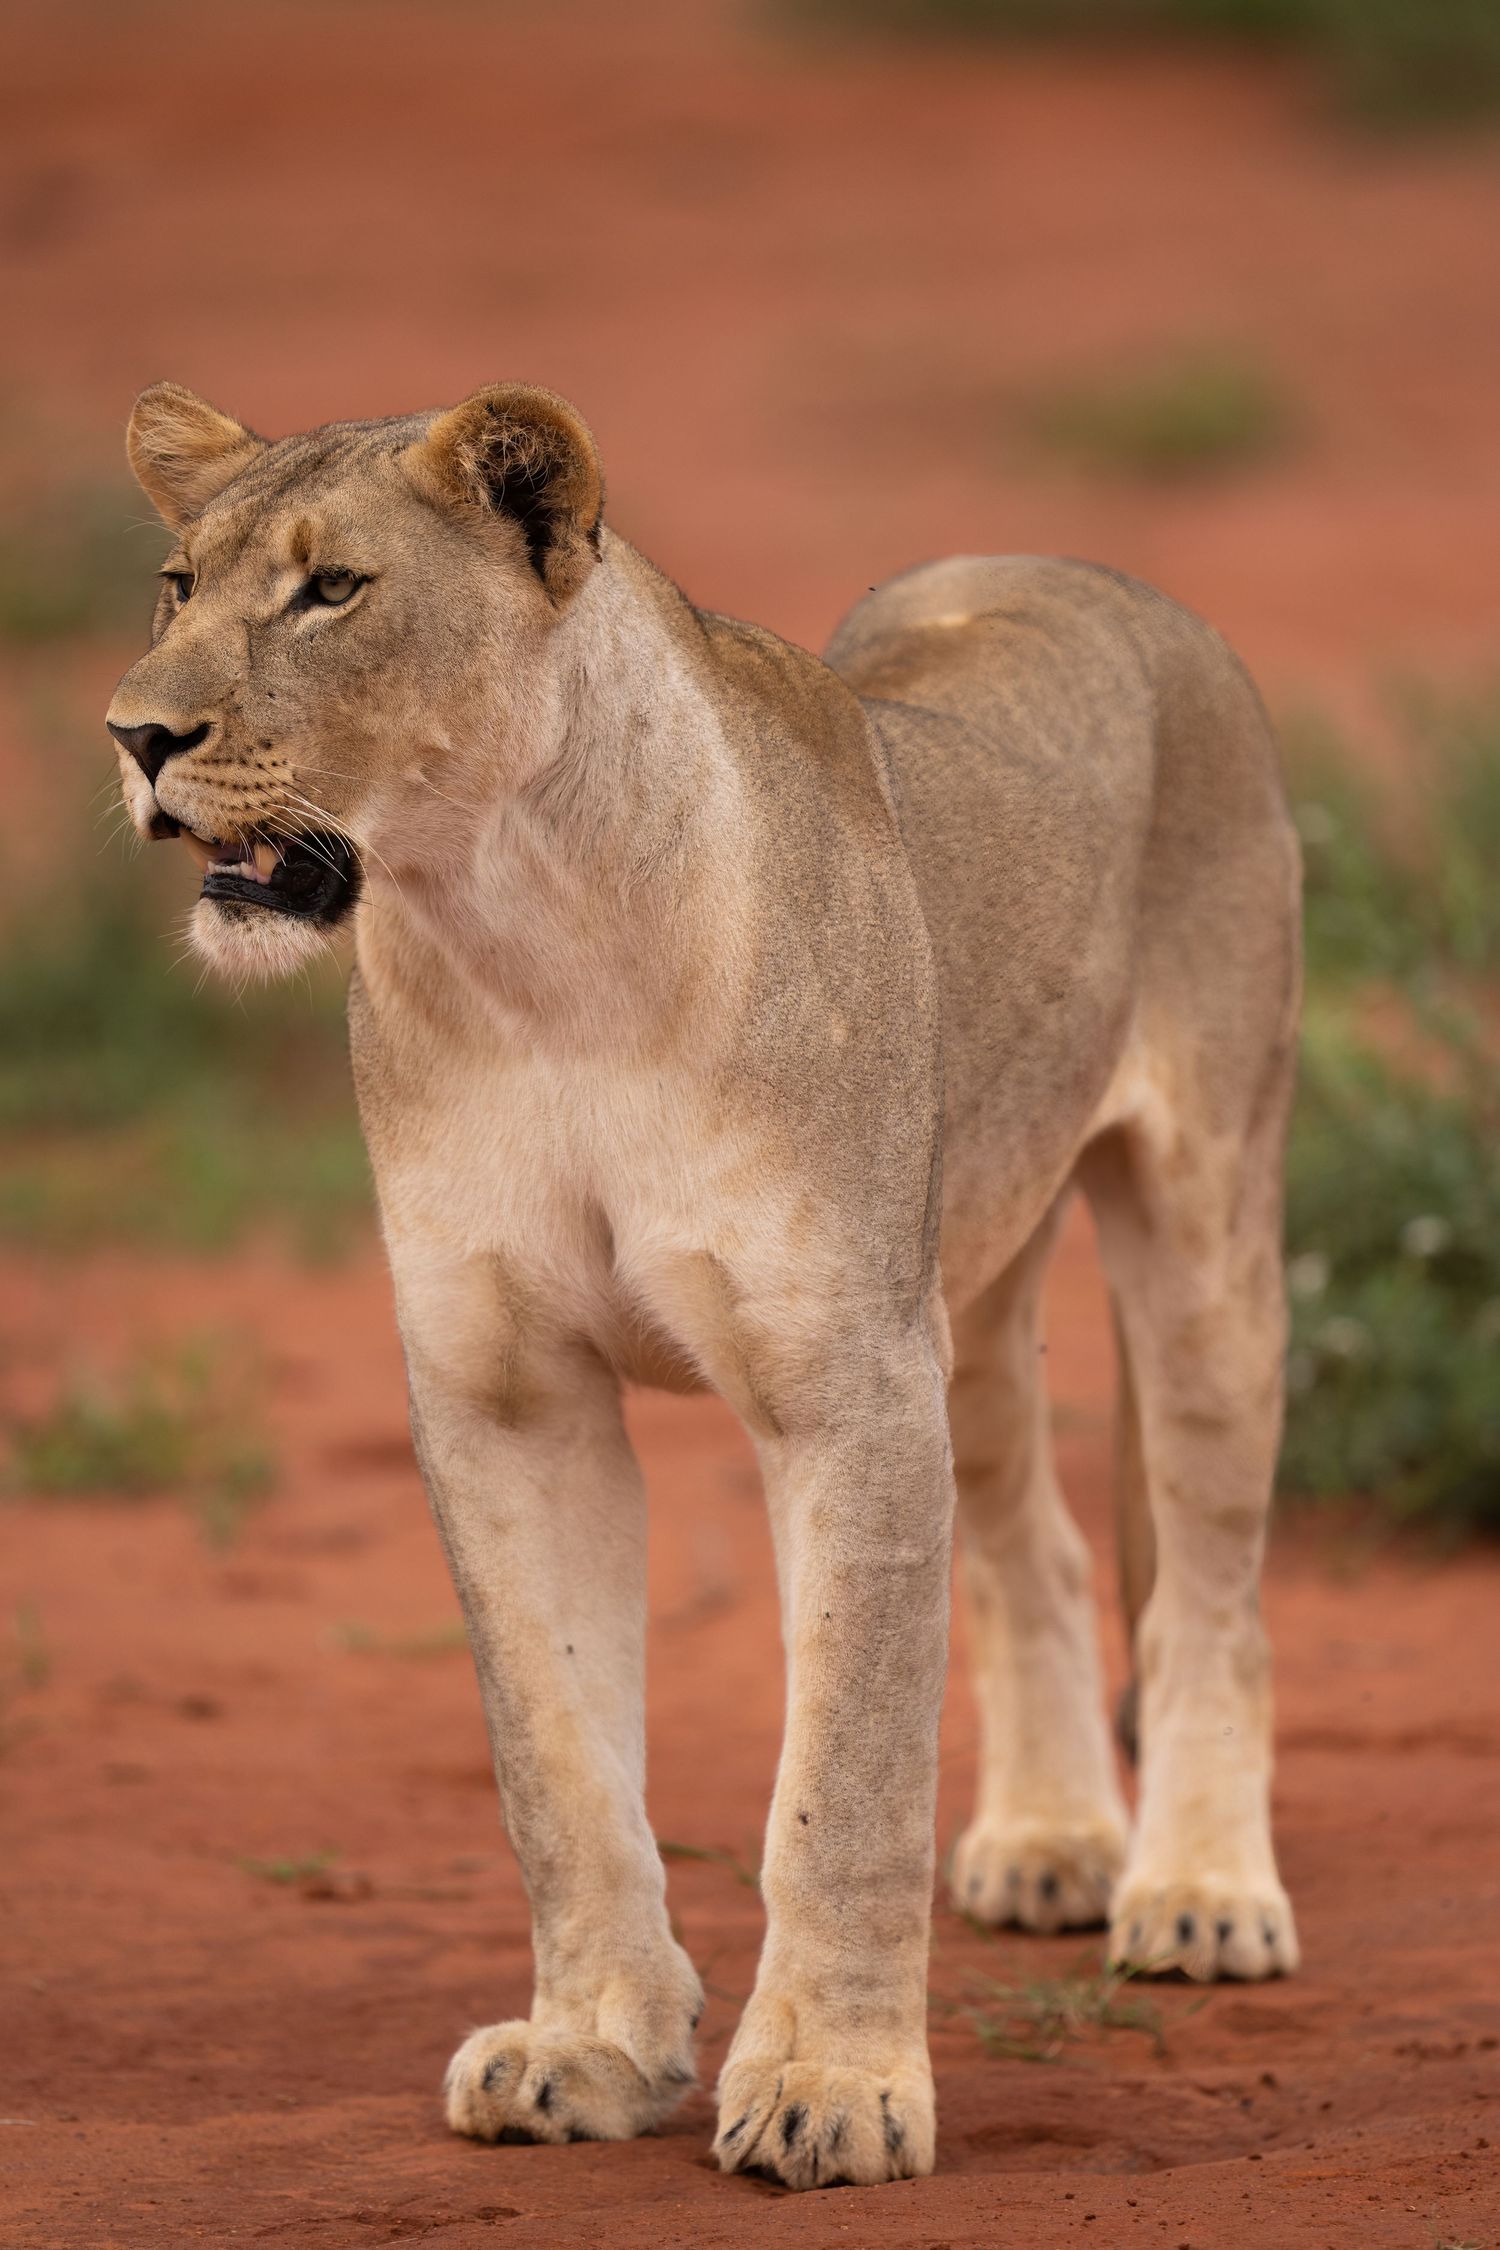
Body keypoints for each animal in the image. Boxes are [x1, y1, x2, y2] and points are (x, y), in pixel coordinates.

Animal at [107, 379, 1301, 2191]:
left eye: (332, 592)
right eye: (177, 585)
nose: (133, 736)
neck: (523, 944)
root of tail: (1078, 567)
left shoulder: (847, 1386)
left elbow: (843, 1780)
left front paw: (834, 2089)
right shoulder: (507, 1396)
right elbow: (557, 1764)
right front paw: (590, 2048)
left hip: (1204, 1223)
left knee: (1212, 1590)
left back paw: (1203, 1894)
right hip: (972, 1287)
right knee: (1035, 1540)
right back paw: (1046, 1843)